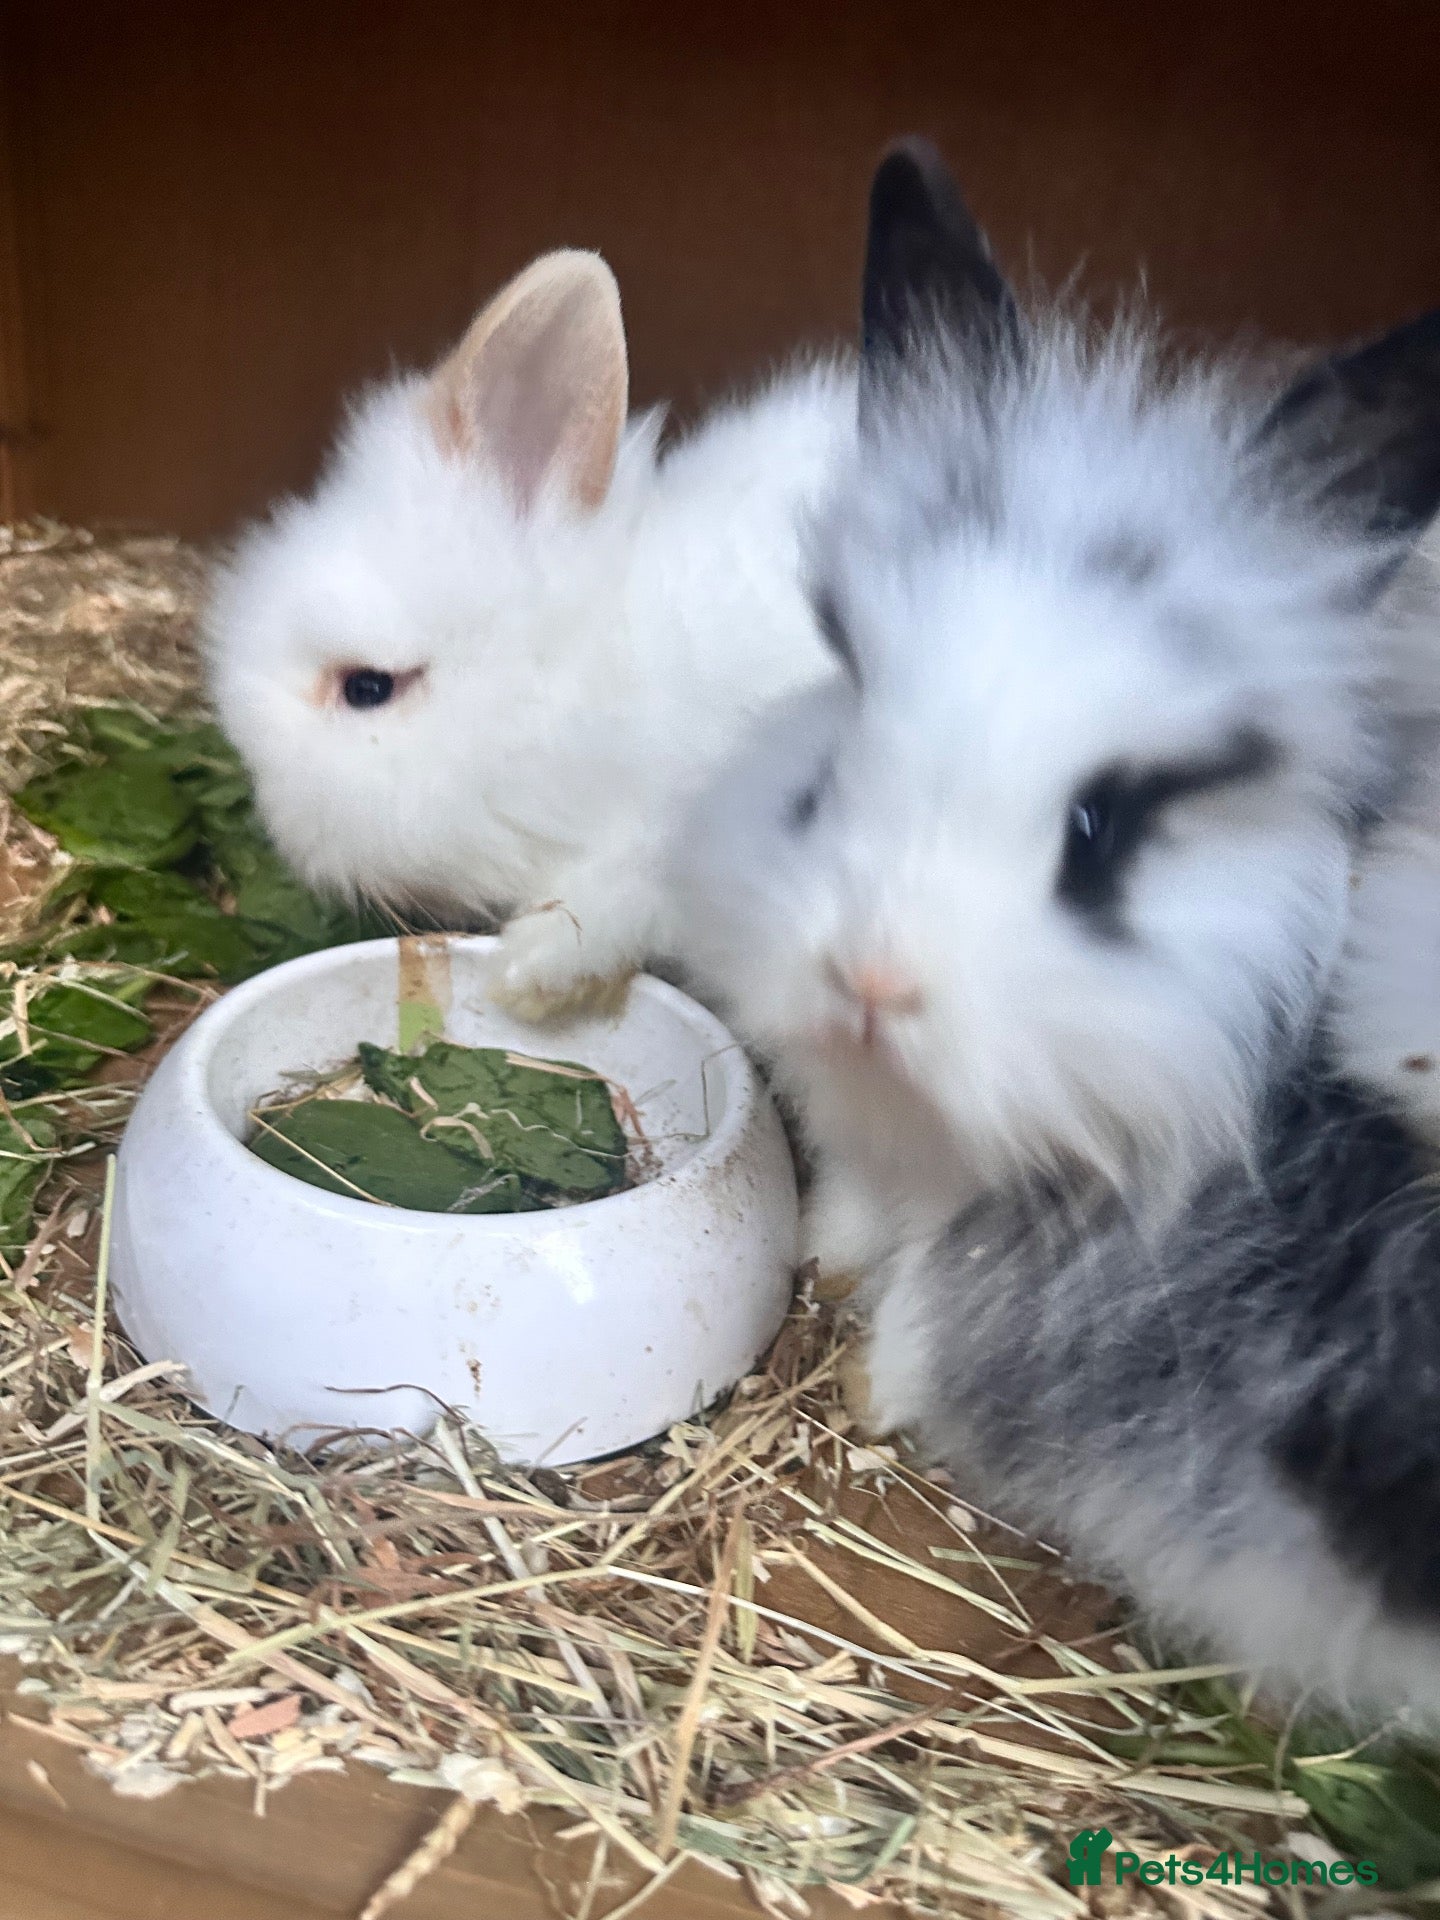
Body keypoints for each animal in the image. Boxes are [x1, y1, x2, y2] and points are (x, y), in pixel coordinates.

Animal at [670, 137, 1440, 1720]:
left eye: (1105, 827)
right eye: (848, 710)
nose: (872, 976)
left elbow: (945, 1316)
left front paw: (878, 1391)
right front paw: (828, 1273)